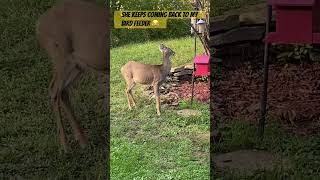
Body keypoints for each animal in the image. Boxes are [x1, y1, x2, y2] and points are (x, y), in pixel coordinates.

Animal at [35, 0, 109, 152]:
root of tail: (38, 25)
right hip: (60, 55)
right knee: (53, 89)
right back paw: (65, 146)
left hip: (76, 65)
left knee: (62, 91)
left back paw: (83, 142)